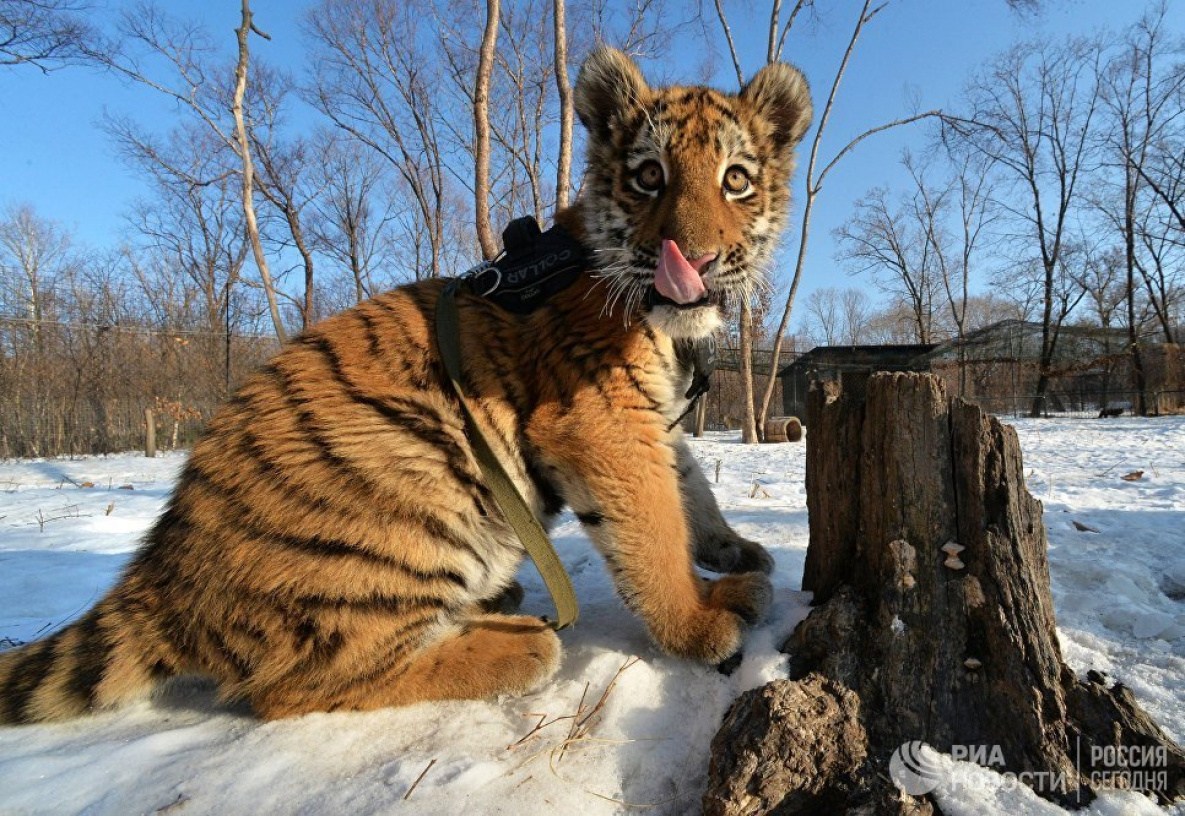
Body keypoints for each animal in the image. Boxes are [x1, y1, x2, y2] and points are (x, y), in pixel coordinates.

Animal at [0, 46, 815, 720]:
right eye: (649, 177)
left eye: (735, 181)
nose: (695, 259)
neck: (663, 320)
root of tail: (158, 580)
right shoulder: (602, 421)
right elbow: (651, 532)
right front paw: (700, 623)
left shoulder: (655, 420)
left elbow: (690, 491)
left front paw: (734, 549)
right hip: (411, 487)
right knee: (296, 685)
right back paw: (519, 641)